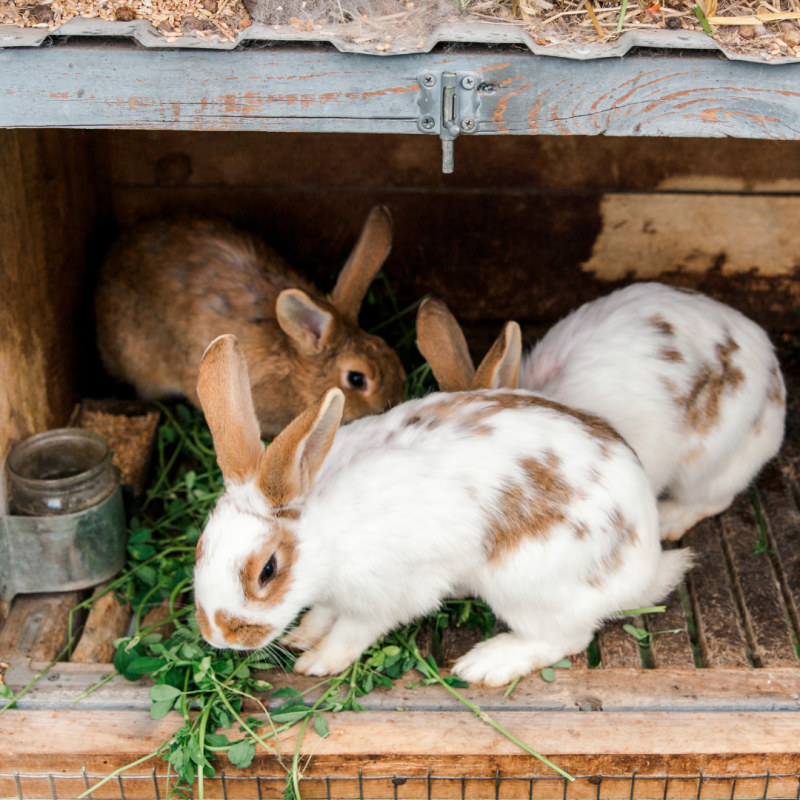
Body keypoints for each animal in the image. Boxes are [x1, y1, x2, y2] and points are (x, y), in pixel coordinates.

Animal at [192, 332, 688, 688]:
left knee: (568, 636)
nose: (217, 635)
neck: (324, 533)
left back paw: (485, 664)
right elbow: (323, 614)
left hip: (526, 586)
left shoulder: (388, 595)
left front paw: (317, 661)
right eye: (201, 547)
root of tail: (644, 567)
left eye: (268, 570)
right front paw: (303, 635)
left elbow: (354, 630)